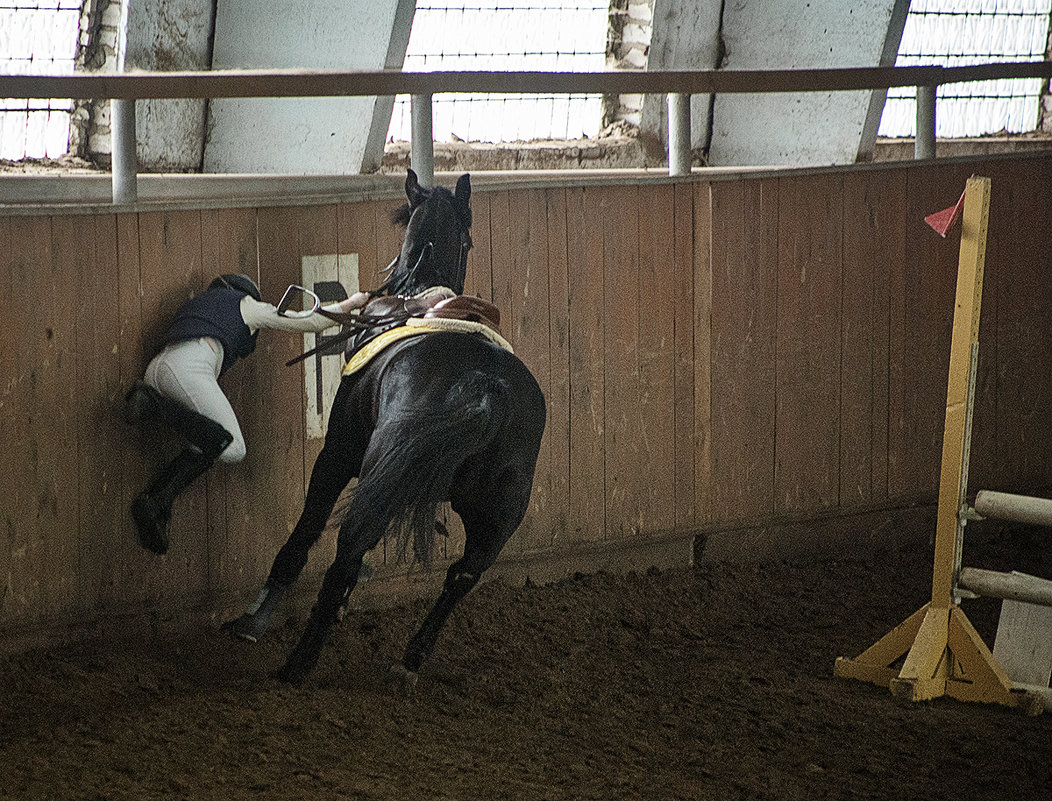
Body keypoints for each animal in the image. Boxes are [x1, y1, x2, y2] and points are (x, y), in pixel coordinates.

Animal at [225, 170, 547, 686]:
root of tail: (485, 387)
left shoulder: (338, 454)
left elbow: (307, 527)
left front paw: (255, 620)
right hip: (499, 515)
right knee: (462, 576)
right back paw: (411, 658)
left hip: (381, 479)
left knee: (349, 550)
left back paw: (298, 664)